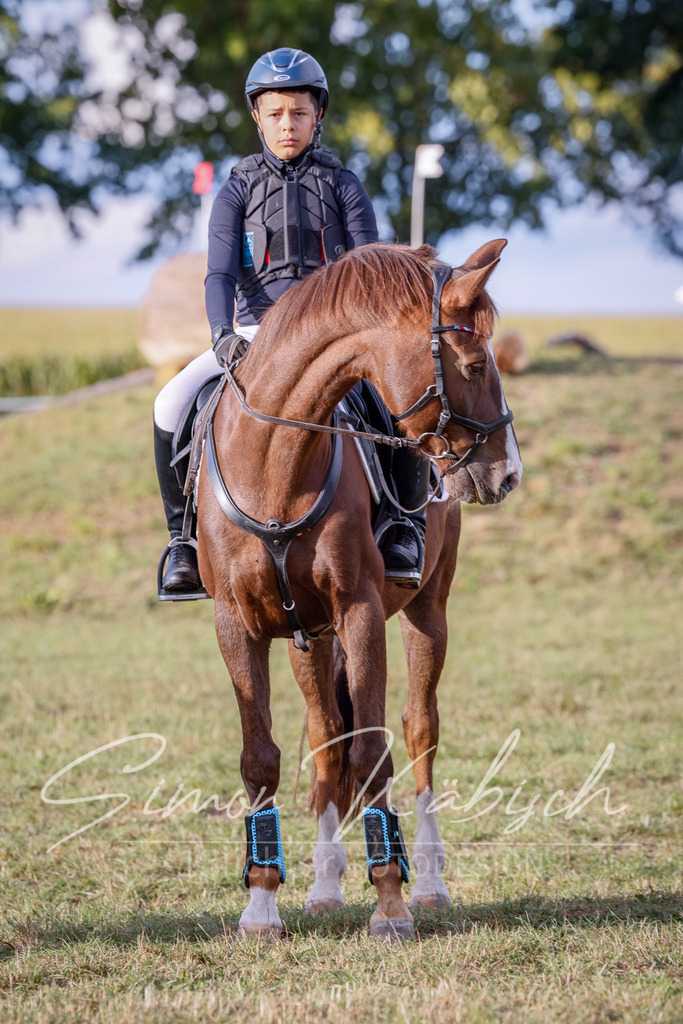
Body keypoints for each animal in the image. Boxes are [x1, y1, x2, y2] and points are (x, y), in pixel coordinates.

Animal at [196, 239, 522, 940]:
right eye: (475, 363)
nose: (508, 473)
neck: (277, 462)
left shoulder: (361, 613)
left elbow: (375, 749)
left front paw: (391, 904)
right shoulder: (237, 625)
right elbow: (263, 757)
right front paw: (261, 906)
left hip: (427, 612)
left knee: (421, 730)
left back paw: (429, 882)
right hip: (309, 638)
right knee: (325, 738)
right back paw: (322, 888)